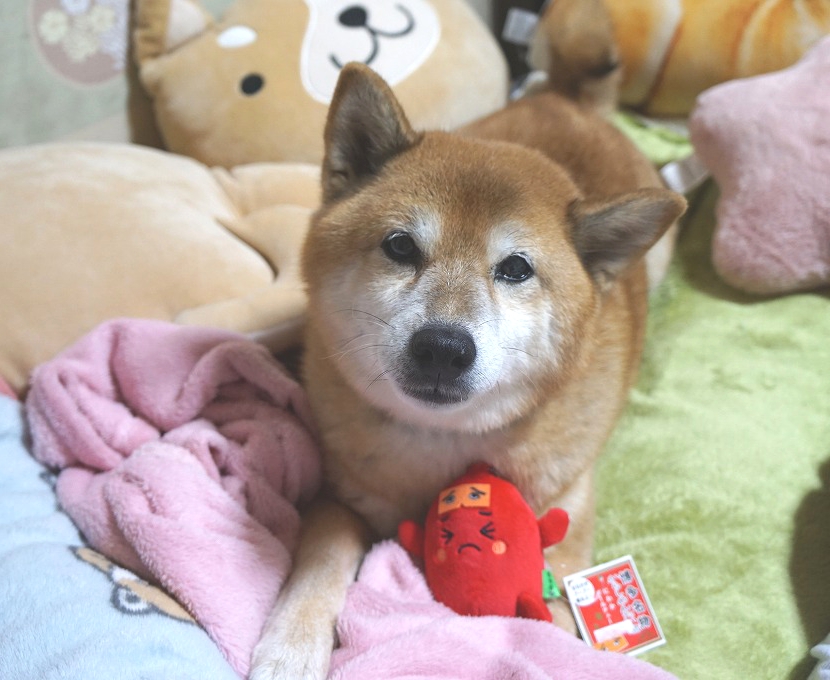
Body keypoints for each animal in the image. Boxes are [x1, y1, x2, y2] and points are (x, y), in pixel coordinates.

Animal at [250, 21, 685, 680]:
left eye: (515, 269)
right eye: (400, 246)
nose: (442, 348)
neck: (441, 446)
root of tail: (569, 100)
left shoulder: (564, 511)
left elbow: (556, 617)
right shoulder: (339, 494)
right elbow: (320, 561)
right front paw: (290, 644)